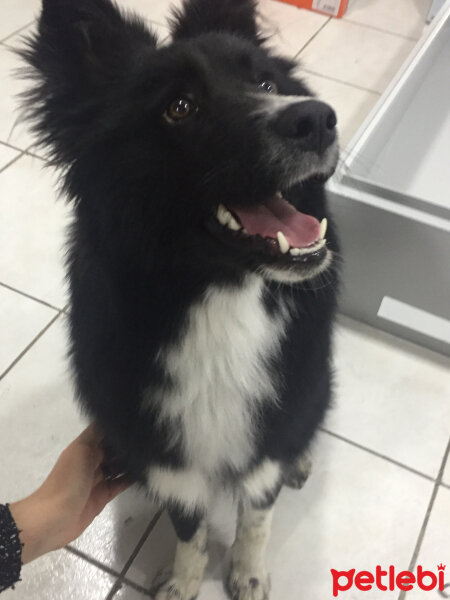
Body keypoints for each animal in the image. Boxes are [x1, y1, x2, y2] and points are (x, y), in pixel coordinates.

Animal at [20, 2, 338, 596]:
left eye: (266, 82)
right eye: (179, 107)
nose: (318, 118)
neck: (219, 297)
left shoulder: (270, 430)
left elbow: (256, 518)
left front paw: (248, 574)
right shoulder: (164, 454)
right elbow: (188, 527)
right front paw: (185, 580)